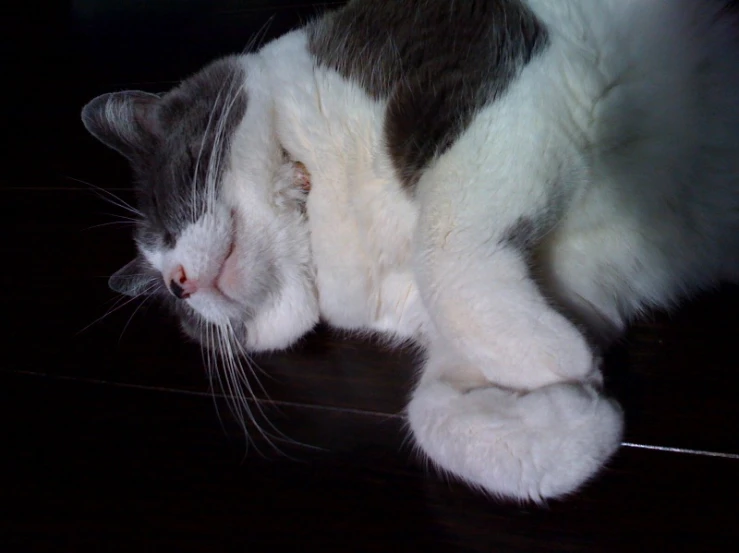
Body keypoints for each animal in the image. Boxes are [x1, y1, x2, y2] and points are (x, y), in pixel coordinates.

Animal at [79, 0, 739, 500]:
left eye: (168, 219)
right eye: (172, 303)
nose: (179, 280)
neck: (321, 215)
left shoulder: (488, 75)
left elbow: (441, 244)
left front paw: (555, 360)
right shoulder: (574, 288)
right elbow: (427, 415)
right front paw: (582, 411)